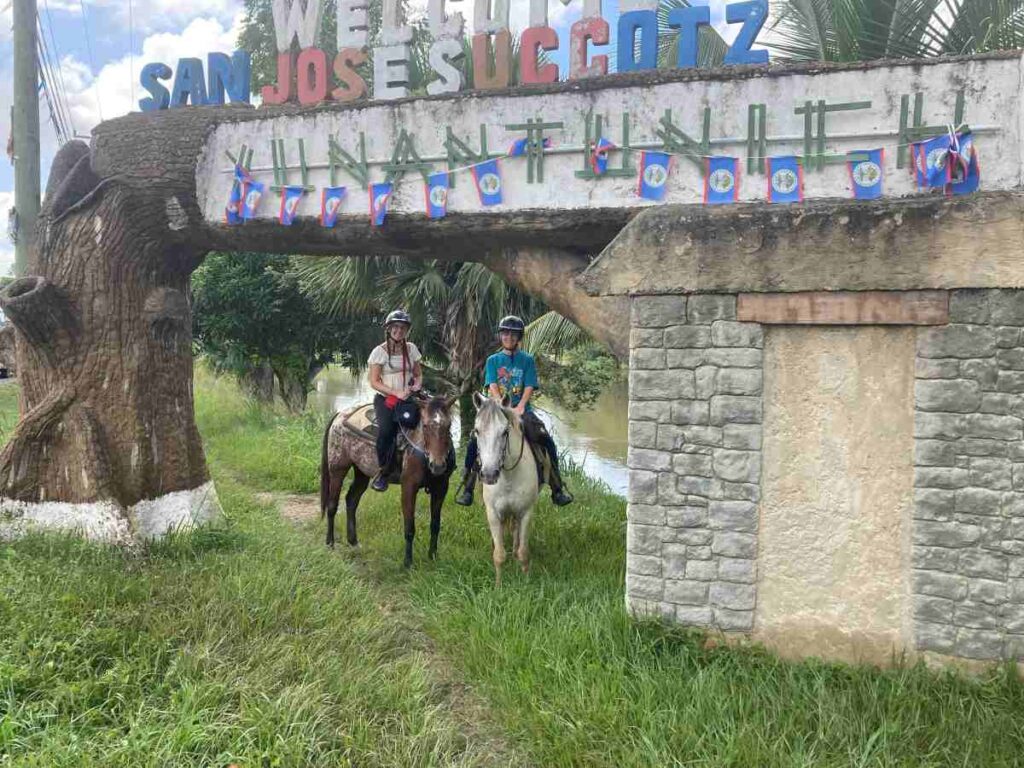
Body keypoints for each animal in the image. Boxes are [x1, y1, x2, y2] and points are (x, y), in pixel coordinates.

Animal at [319, 399, 456, 569]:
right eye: (425, 426)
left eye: (448, 426)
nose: (437, 466)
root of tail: (340, 415)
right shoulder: (409, 487)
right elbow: (409, 528)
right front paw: (408, 563)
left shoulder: (441, 488)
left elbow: (435, 525)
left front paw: (433, 556)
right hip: (338, 468)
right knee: (332, 505)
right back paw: (330, 543)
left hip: (361, 472)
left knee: (351, 500)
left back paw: (353, 542)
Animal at [475, 393, 544, 585]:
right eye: (476, 431)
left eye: (504, 431)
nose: (489, 475)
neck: (508, 476)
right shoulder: (493, 513)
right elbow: (498, 555)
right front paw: (498, 585)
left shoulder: (526, 512)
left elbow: (524, 552)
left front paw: (526, 581)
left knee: (515, 530)